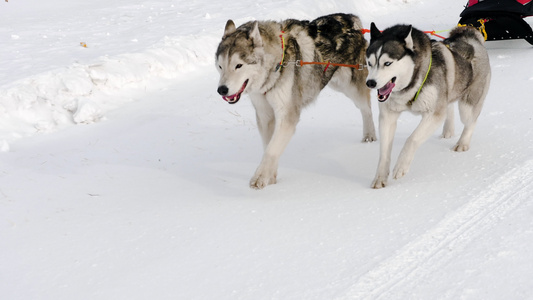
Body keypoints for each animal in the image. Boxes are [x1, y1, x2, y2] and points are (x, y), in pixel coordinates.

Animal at [214, 14, 376, 189]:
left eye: (238, 65)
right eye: (220, 66)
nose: (222, 90)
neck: (276, 66)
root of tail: (351, 20)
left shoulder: (287, 116)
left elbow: (271, 149)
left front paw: (260, 178)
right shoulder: (265, 116)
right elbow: (270, 147)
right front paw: (271, 177)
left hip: (351, 88)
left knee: (366, 108)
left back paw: (370, 136)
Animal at [366, 24, 490, 188]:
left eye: (387, 63)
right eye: (369, 63)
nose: (370, 83)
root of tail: (470, 36)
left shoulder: (434, 114)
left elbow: (411, 139)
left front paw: (401, 166)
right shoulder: (388, 116)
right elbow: (384, 152)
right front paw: (380, 177)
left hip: (467, 107)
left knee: (470, 121)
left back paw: (462, 143)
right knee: (449, 107)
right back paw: (448, 130)